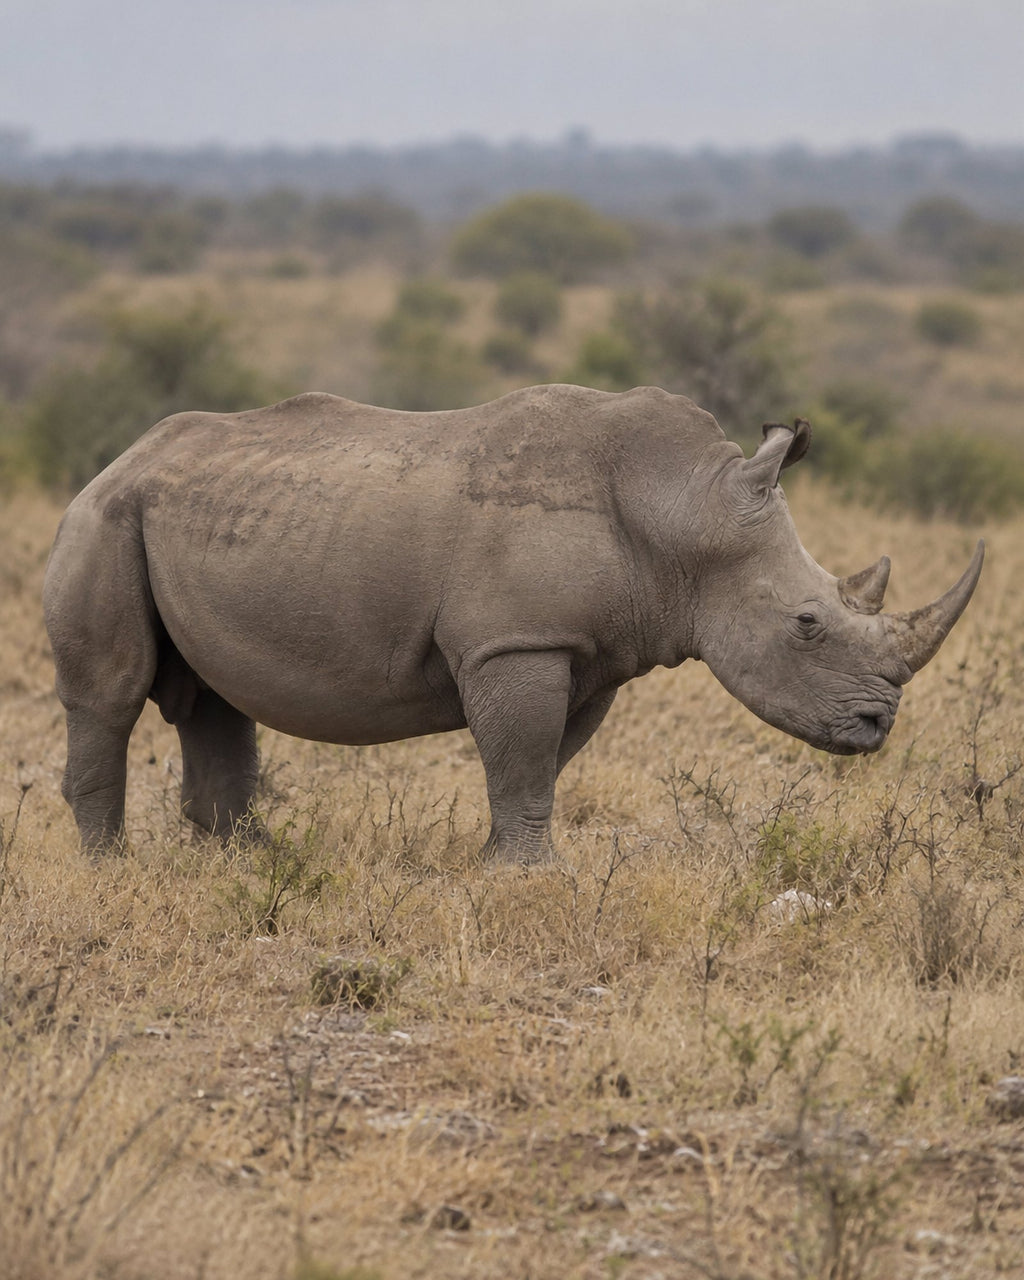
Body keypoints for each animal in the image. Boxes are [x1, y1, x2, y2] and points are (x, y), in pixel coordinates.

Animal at [43, 384, 983, 860]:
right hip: (103, 520)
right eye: (807, 624)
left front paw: (501, 864)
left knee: (213, 701)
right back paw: (112, 870)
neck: (684, 510)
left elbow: (539, 762)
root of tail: (115, 460)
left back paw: (249, 863)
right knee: (110, 697)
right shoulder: (518, 641)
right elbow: (523, 756)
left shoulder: (587, 650)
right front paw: (529, 876)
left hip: (180, 517)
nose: (877, 726)